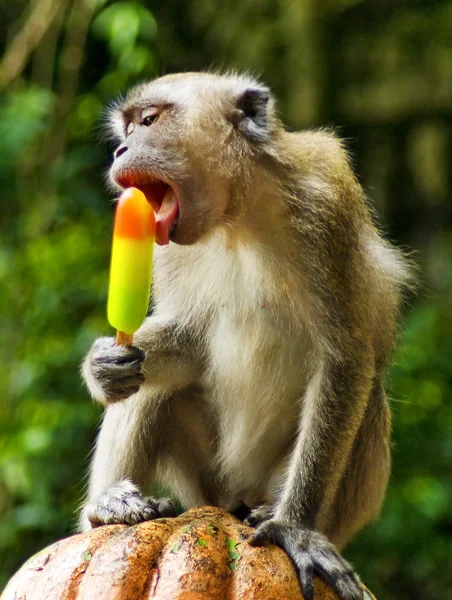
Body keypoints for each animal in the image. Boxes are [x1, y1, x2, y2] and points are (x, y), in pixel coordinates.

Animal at [79, 71, 412, 600]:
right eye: (125, 130)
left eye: (148, 121)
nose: (120, 150)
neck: (236, 214)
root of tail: (233, 499)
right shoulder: (165, 247)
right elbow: (185, 343)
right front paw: (101, 365)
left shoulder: (326, 205)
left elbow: (345, 358)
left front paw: (293, 528)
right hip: (206, 484)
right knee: (152, 385)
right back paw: (110, 508)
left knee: (368, 396)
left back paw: (270, 514)